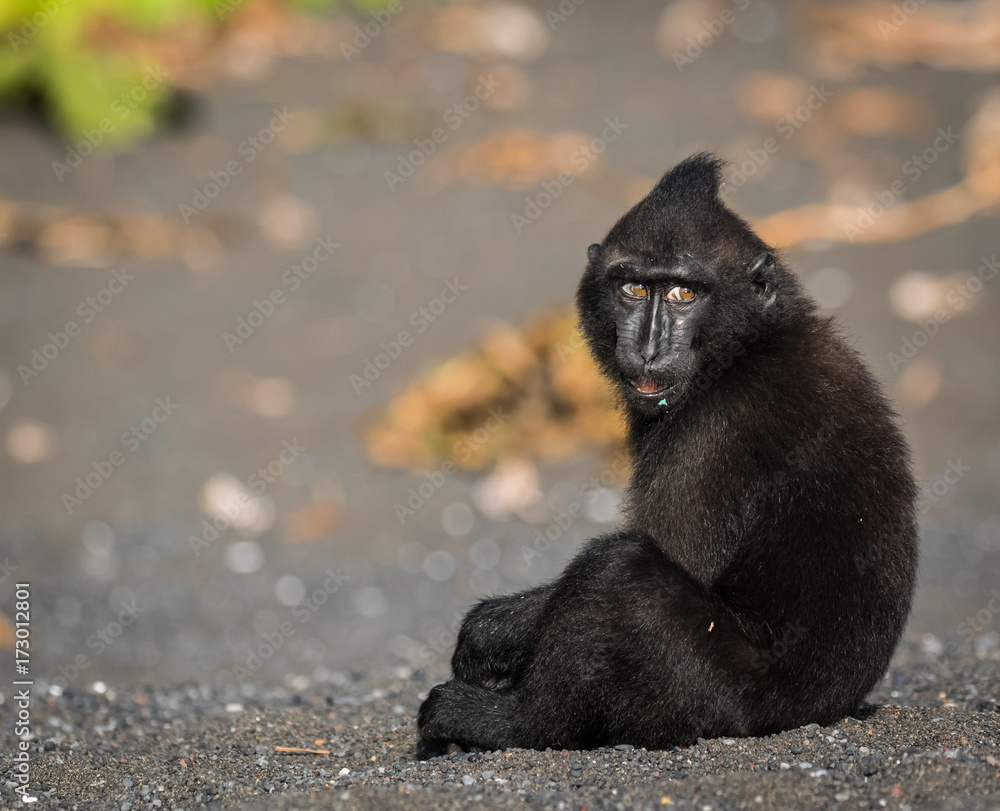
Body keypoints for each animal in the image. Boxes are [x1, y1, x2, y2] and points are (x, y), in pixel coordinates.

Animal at [416, 153, 918, 755]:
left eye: (683, 294)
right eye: (634, 288)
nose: (649, 348)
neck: (747, 350)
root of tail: (823, 708)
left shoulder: (714, 433)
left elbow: (673, 554)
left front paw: (490, 633)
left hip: (717, 697)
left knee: (616, 571)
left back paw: (511, 723)